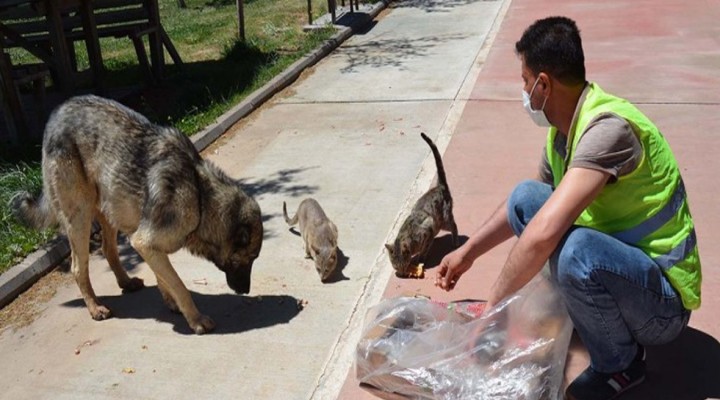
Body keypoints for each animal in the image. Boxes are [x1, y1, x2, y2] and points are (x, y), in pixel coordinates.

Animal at [9, 94, 262, 334]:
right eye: (248, 259)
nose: (246, 291)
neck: (200, 196)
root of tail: (56, 113)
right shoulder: (145, 242)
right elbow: (178, 284)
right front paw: (195, 319)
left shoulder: (148, 243)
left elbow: (165, 278)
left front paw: (172, 303)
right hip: (80, 218)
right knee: (78, 268)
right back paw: (95, 307)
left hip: (113, 209)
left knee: (108, 249)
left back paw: (126, 282)